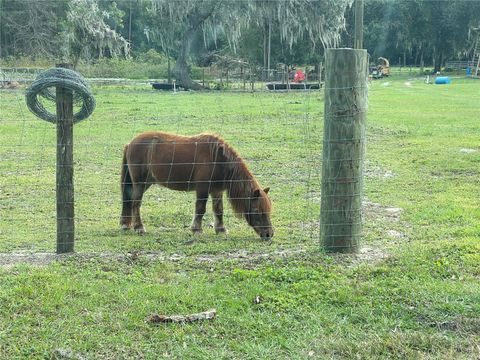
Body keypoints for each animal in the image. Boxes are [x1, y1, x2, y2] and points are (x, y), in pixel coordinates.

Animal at [119, 131, 274, 239]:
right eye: (257, 210)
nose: (269, 234)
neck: (218, 160)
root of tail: (130, 144)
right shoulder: (202, 189)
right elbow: (200, 209)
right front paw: (197, 229)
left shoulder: (216, 190)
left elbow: (218, 210)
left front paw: (221, 229)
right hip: (140, 183)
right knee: (135, 203)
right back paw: (139, 227)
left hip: (146, 183)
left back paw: (126, 224)